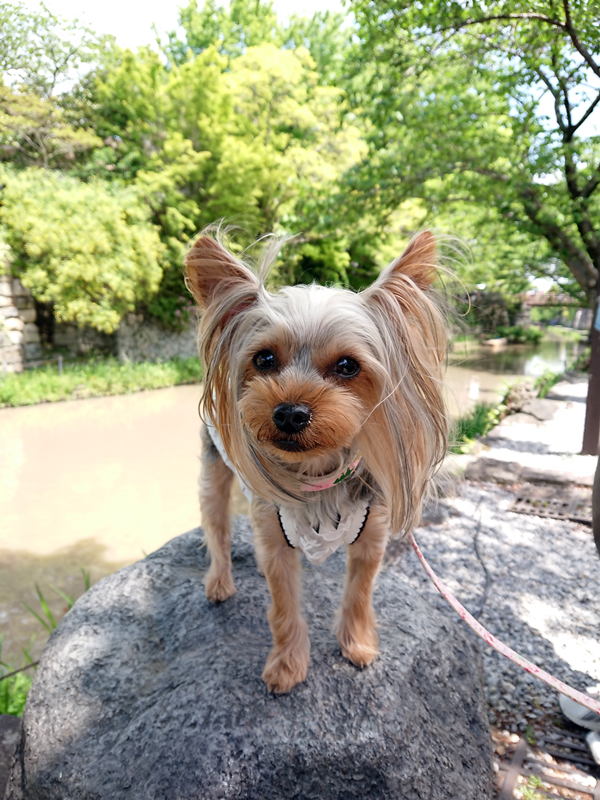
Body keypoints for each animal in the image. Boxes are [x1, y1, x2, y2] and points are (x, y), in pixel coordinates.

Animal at [185, 231, 448, 692]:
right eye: (264, 359)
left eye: (347, 365)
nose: (290, 412)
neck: (318, 472)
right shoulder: (274, 533)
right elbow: (283, 603)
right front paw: (287, 667)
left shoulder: (372, 534)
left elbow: (360, 590)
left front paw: (357, 645)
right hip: (215, 463)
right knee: (215, 522)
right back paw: (219, 581)